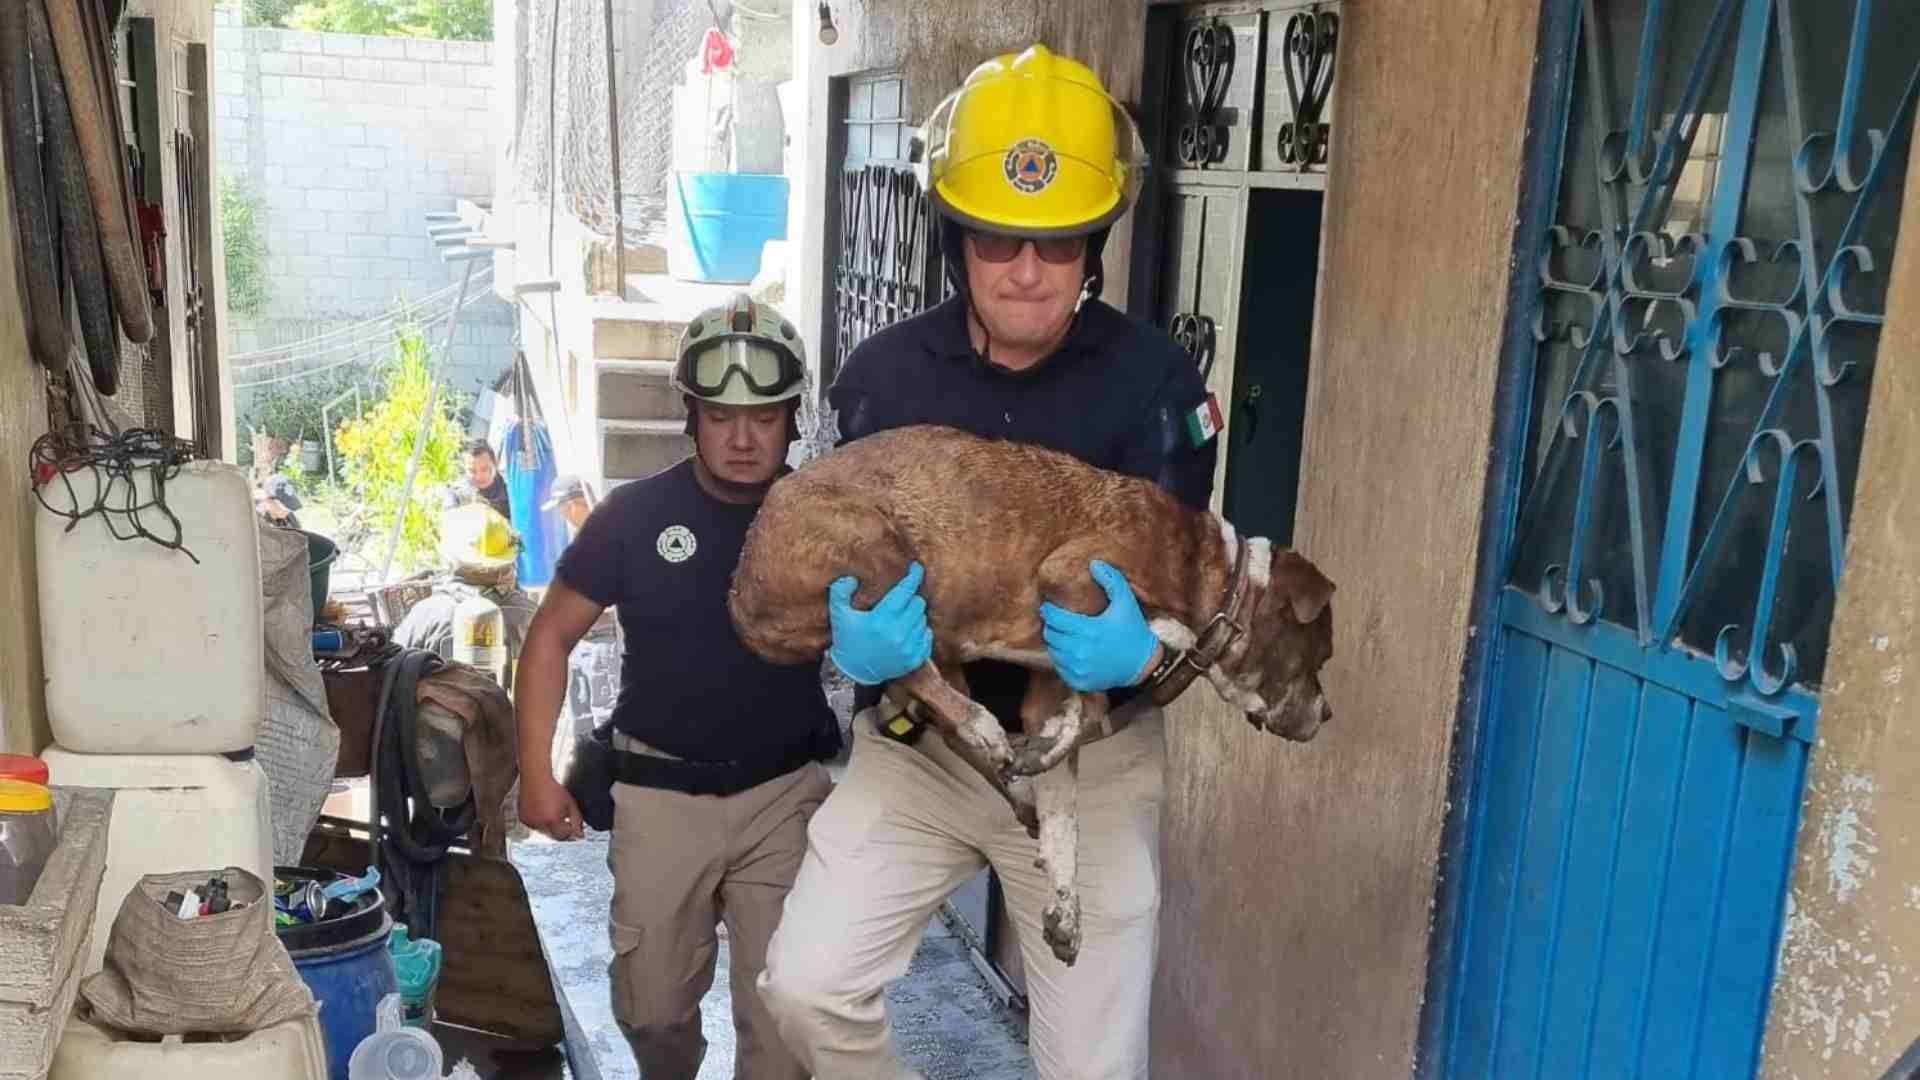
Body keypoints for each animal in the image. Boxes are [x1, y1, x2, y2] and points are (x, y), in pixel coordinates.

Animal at [721, 422, 1336, 957]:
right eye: (1322, 655)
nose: (1329, 714)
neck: (1215, 577)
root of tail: (740, 586)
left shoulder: (1054, 677)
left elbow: (1068, 790)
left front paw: (1065, 903)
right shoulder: (1073, 578)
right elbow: (1116, 678)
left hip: (932, 629)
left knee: (934, 702)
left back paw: (1010, 775)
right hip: (880, 561)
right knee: (918, 673)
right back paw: (984, 727)